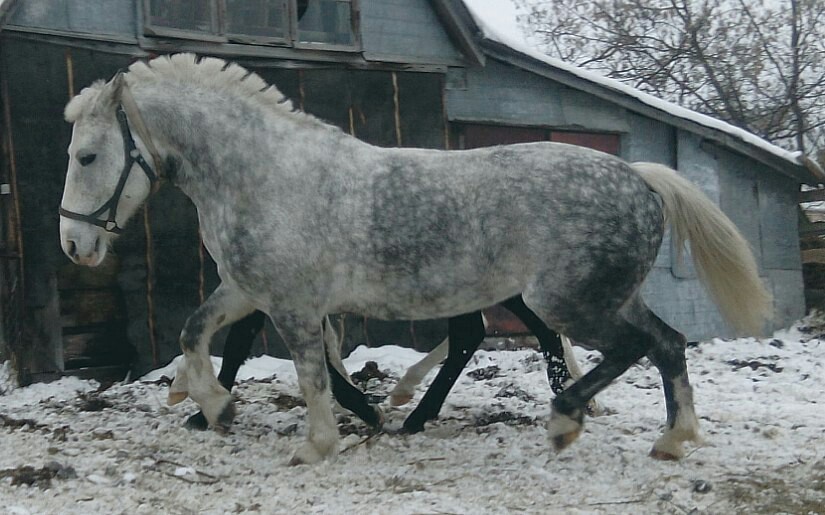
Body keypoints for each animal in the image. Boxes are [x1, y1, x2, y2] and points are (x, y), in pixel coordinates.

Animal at [59, 54, 772, 466]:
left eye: (87, 156)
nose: (73, 245)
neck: (263, 176)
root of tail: (640, 177)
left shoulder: (293, 304)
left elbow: (311, 374)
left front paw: (319, 443)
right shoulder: (248, 289)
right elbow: (194, 333)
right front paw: (213, 407)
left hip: (569, 301)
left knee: (629, 347)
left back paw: (564, 421)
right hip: (604, 296)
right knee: (667, 343)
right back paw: (670, 439)